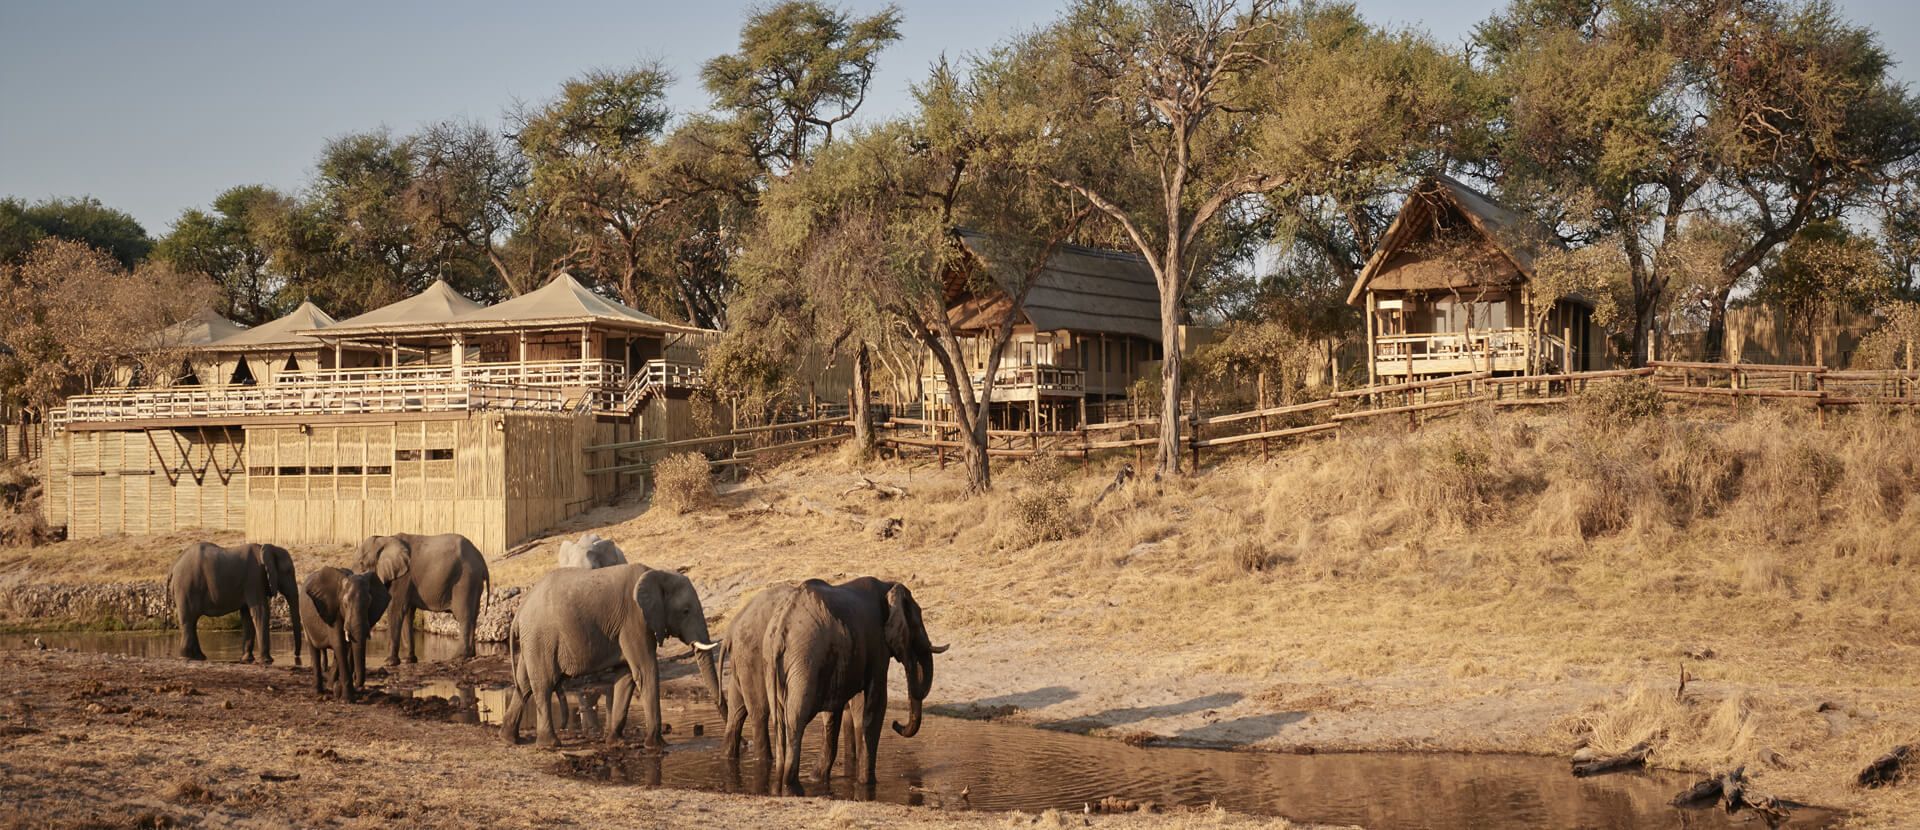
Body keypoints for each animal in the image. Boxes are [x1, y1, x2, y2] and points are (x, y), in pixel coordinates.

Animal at [168, 541, 301, 664]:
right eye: (288, 571)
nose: (296, 656)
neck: (267, 548)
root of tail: (173, 566)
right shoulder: (255, 578)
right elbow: (260, 611)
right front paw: (267, 661)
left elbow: (247, 616)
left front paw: (246, 659)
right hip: (186, 587)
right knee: (189, 620)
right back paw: (187, 657)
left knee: (192, 621)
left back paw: (199, 657)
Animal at [297, 564, 387, 699]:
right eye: (345, 604)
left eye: (369, 603)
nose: (357, 682)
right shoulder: (333, 611)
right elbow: (339, 644)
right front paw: (347, 699)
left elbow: (348, 647)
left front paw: (341, 691)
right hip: (304, 619)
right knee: (314, 649)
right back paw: (318, 692)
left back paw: (330, 686)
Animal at [355, 534, 491, 664]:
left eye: (361, 563)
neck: (386, 538)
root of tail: (481, 560)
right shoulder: (407, 580)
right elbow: (407, 612)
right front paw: (409, 660)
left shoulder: (403, 578)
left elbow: (396, 609)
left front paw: (389, 662)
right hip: (474, 582)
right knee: (473, 615)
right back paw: (470, 655)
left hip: (465, 579)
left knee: (463, 615)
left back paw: (459, 657)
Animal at [499, 564, 721, 745]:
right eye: (686, 611)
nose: (722, 711)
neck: (658, 573)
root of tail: (520, 611)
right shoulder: (635, 620)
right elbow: (645, 671)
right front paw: (657, 745)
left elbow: (626, 676)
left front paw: (616, 741)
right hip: (541, 637)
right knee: (543, 683)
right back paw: (550, 744)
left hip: (532, 640)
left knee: (524, 684)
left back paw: (510, 738)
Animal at [721, 576, 948, 791]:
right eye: (917, 621)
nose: (896, 724)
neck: (887, 585)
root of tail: (779, 631)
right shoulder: (877, 646)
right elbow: (874, 707)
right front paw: (867, 784)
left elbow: (836, 712)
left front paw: (818, 778)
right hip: (802, 660)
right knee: (793, 718)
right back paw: (791, 785)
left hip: (771, 659)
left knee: (776, 718)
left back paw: (780, 782)